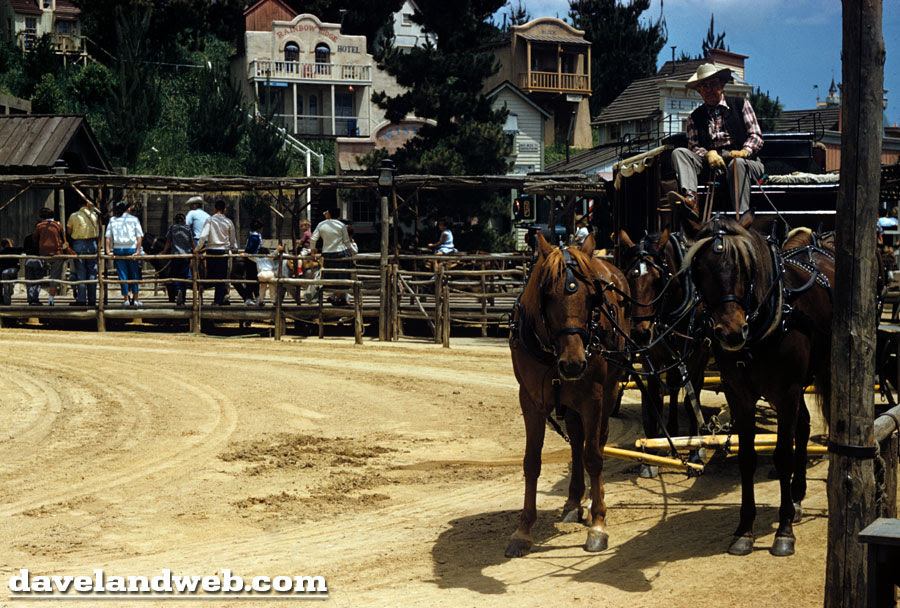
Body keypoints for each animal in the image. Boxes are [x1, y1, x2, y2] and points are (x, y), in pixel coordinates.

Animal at [506, 232, 630, 557]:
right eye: (547, 295)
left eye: (592, 298)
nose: (573, 364)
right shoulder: (531, 400)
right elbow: (532, 462)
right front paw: (523, 530)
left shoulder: (594, 397)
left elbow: (594, 457)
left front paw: (598, 525)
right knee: (576, 442)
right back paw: (573, 502)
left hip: (609, 391)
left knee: (597, 442)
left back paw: (596, 501)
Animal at [618, 229, 710, 456]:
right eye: (628, 278)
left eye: (658, 280)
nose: (640, 334)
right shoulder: (653, 356)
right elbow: (654, 399)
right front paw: (654, 444)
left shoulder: (697, 356)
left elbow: (690, 400)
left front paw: (695, 447)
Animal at [683, 212, 834, 556]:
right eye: (699, 270)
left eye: (742, 267)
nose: (731, 332)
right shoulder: (740, 395)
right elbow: (747, 458)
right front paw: (744, 530)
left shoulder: (787, 392)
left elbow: (782, 455)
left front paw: (784, 531)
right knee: (803, 426)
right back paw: (797, 494)